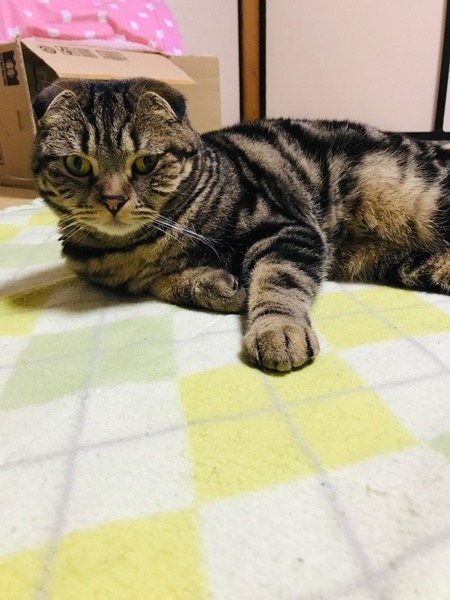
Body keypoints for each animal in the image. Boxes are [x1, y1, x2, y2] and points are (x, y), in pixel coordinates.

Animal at [31, 78, 450, 372]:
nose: (113, 200)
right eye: (77, 164)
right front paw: (220, 286)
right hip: (411, 265)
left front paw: (276, 330)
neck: (138, 248)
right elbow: (164, 284)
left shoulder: (288, 230)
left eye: (145, 163)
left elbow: (276, 281)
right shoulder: (132, 278)